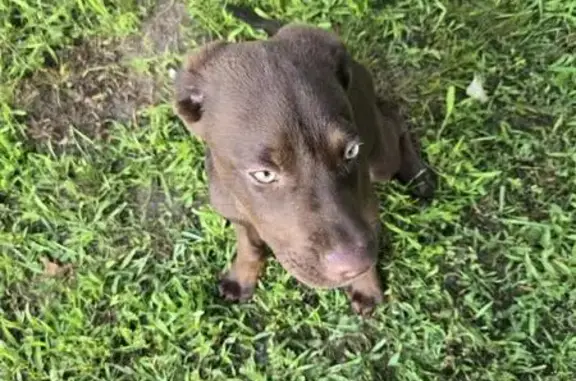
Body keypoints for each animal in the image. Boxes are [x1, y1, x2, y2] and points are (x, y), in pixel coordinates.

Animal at [173, 5, 434, 314]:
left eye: (351, 151)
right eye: (264, 174)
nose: (354, 265)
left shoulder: (367, 209)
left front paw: (366, 285)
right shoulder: (235, 213)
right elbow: (249, 245)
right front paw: (242, 276)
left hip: (378, 156)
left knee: (393, 117)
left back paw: (418, 174)